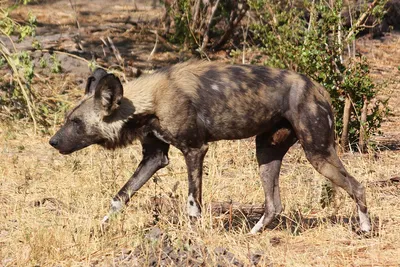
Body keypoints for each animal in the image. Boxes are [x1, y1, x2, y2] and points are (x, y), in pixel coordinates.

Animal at [49, 60, 372, 234]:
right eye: (68, 119)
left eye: (76, 122)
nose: (53, 142)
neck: (148, 103)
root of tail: (319, 88)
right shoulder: (155, 157)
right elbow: (120, 197)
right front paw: (101, 226)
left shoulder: (195, 150)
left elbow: (193, 205)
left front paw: (193, 237)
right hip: (265, 154)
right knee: (274, 204)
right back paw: (251, 235)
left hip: (319, 154)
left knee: (358, 186)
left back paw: (366, 228)